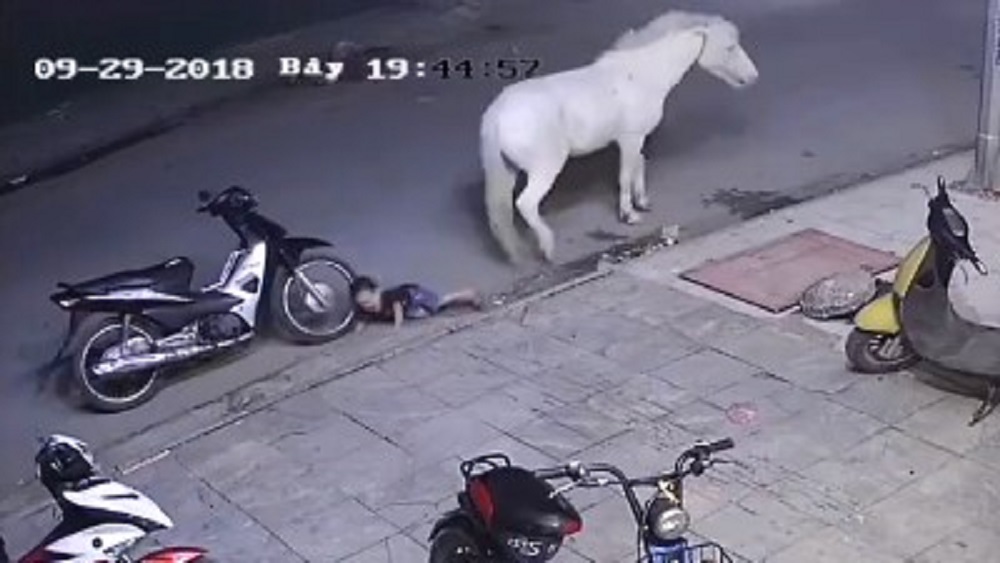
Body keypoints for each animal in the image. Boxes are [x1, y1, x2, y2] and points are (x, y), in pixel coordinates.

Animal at [480, 10, 759, 263]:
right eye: (730, 47)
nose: (753, 77)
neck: (641, 75)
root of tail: (497, 113)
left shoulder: (637, 138)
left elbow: (639, 165)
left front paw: (642, 201)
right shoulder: (630, 139)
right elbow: (625, 175)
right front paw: (629, 215)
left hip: (509, 170)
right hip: (545, 167)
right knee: (526, 204)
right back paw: (547, 248)